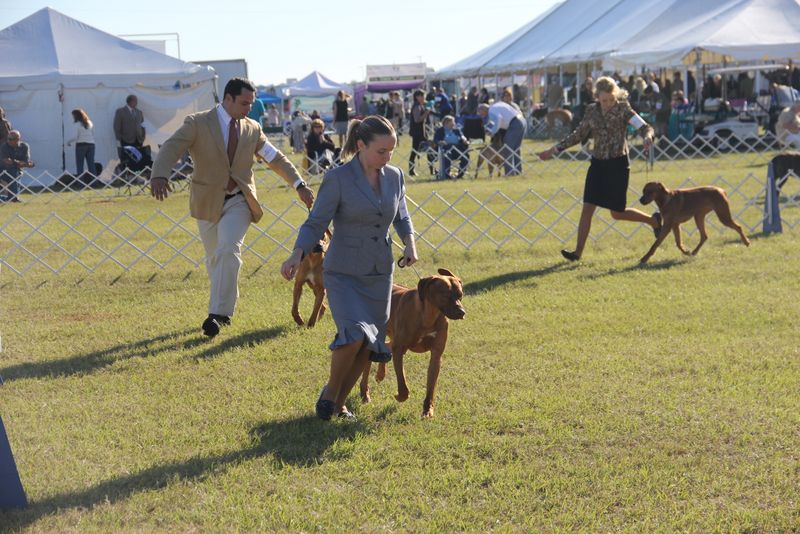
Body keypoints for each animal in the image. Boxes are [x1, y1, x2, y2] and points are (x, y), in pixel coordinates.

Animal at [360, 268, 466, 418]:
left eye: (460, 295)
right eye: (446, 295)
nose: (462, 312)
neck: (428, 315)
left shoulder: (436, 355)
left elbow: (431, 386)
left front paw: (427, 409)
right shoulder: (399, 349)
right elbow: (403, 383)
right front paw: (400, 396)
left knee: (387, 345)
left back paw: (380, 374)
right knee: (369, 363)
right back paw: (365, 394)